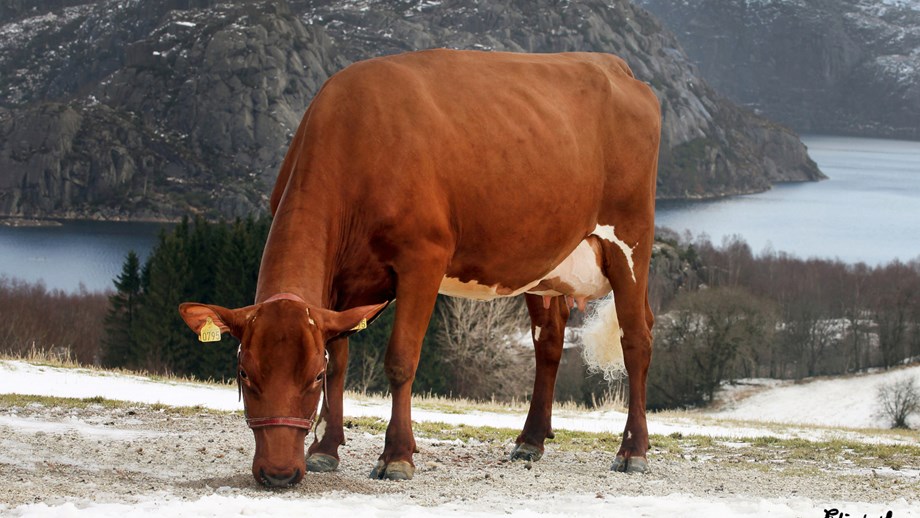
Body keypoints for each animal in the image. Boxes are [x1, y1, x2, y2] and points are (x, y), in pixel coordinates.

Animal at [176, 48, 656, 488]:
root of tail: (613, 65)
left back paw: (632, 451)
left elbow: (401, 359)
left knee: (636, 338)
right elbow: (342, 359)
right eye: (243, 372)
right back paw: (530, 441)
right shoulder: (342, 287)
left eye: (310, 376)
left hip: (631, 241)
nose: (278, 474)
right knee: (550, 341)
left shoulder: (423, 259)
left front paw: (397, 457)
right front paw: (324, 449)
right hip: (545, 263)